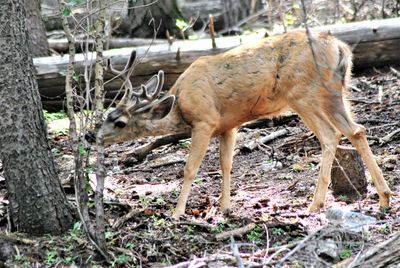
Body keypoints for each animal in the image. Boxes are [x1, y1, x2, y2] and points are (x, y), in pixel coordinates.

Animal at [86, 31, 390, 220]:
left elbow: (190, 169)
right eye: (109, 114)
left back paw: (315, 203)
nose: (89, 135)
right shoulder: (227, 126)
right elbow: (226, 165)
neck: (181, 104)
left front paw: (178, 212)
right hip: (335, 91)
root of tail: (339, 47)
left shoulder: (205, 121)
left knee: (330, 135)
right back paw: (384, 198)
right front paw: (224, 208)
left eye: (120, 122)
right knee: (357, 130)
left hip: (303, 93)